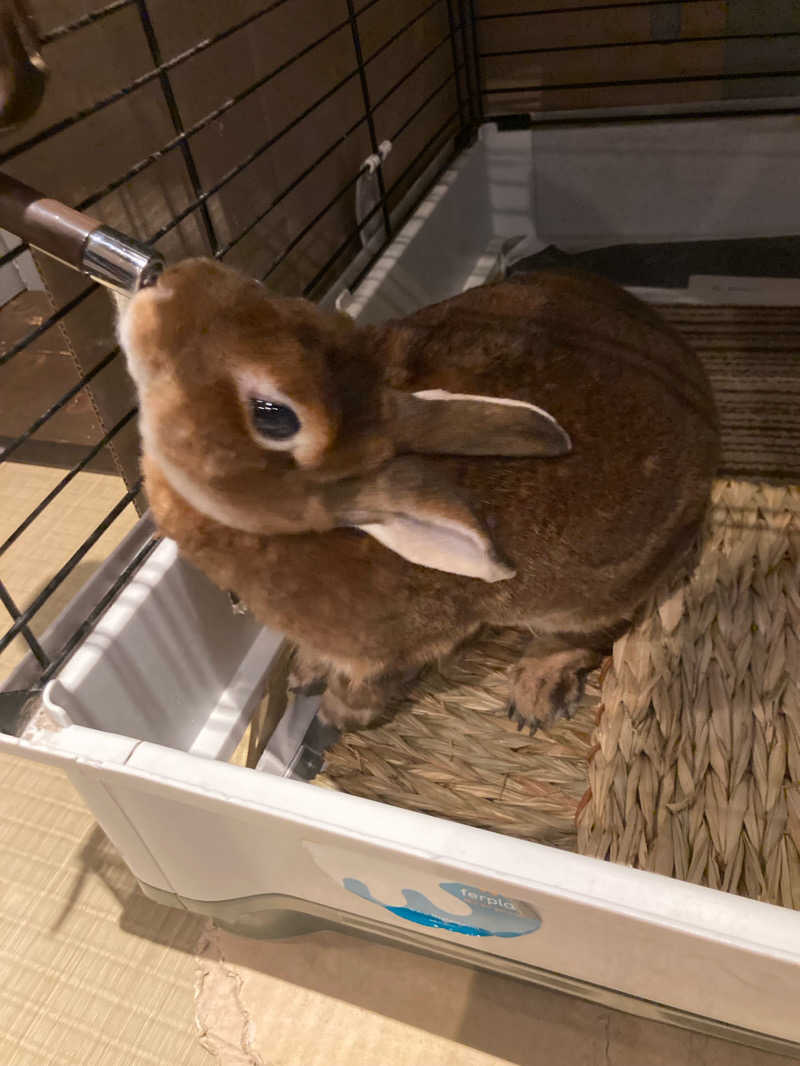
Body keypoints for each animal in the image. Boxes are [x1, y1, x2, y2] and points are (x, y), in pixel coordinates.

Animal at [117, 260, 721, 733]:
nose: (163, 279)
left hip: (594, 594)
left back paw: (535, 692)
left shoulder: (397, 648)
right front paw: (306, 673)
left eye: (273, 415)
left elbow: (373, 684)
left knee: (588, 634)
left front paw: (338, 714)